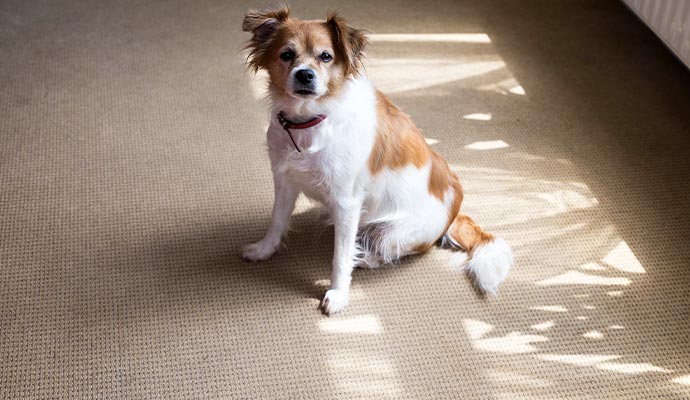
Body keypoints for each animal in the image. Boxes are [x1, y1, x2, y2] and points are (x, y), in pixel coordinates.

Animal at [242, 4, 510, 314]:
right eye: (286, 54)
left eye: (325, 56)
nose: (305, 75)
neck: (310, 120)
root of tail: (455, 208)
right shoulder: (285, 180)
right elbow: (277, 221)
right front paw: (264, 249)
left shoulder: (346, 204)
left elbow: (340, 257)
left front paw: (338, 294)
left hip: (392, 232)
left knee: (394, 250)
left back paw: (365, 259)